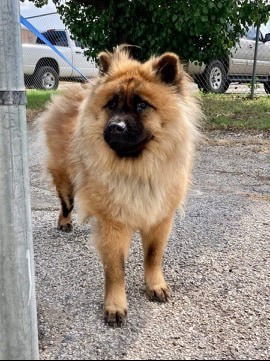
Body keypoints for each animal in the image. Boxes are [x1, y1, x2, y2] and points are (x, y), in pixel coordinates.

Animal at [39, 45, 200, 326]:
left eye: (141, 105)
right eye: (111, 104)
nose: (116, 126)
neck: (135, 168)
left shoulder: (160, 218)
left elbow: (153, 256)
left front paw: (155, 285)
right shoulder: (113, 224)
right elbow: (115, 270)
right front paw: (115, 306)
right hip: (65, 178)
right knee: (66, 203)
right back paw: (65, 222)